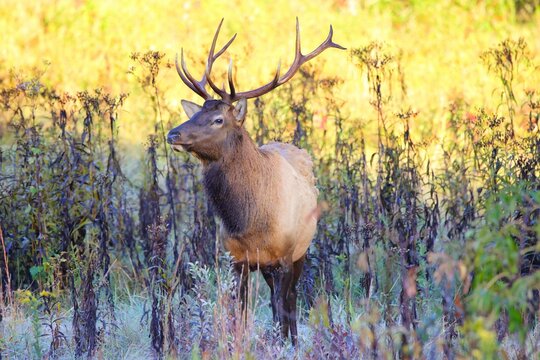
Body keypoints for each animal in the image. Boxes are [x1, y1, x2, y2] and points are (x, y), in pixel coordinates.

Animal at [168, 18, 346, 344]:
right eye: (197, 113)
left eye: (218, 120)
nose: (173, 134)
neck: (248, 221)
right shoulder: (236, 259)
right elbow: (239, 313)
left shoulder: (286, 255)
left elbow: (282, 309)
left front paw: (284, 344)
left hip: (301, 250)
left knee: (290, 299)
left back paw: (295, 340)